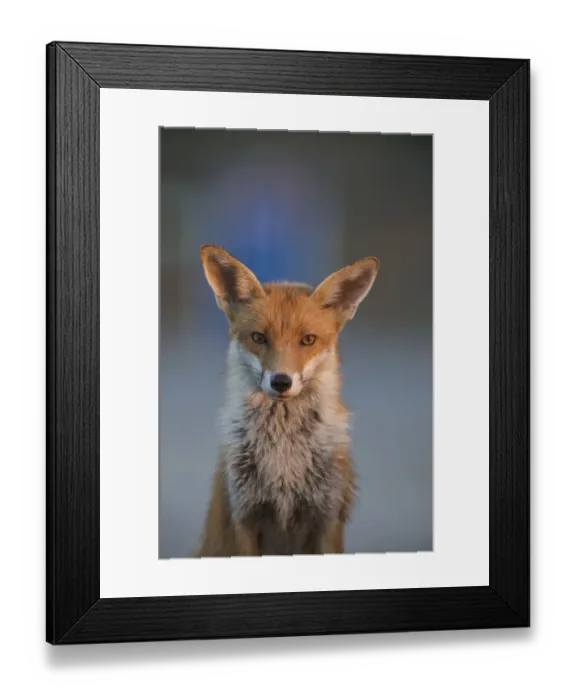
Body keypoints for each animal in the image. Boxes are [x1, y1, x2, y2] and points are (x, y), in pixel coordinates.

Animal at [195, 244, 379, 557]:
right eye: (258, 337)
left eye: (308, 340)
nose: (281, 381)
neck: (283, 455)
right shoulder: (244, 518)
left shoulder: (327, 518)